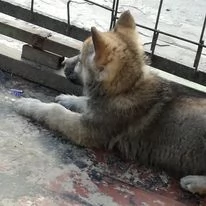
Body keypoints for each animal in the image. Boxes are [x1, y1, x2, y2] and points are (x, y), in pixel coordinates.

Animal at [14, 10, 206, 195]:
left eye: (80, 60)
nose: (64, 61)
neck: (127, 88)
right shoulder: (97, 109)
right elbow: (85, 102)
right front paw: (68, 98)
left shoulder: (86, 131)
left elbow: (55, 111)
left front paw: (30, 104)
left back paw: (194, 183)